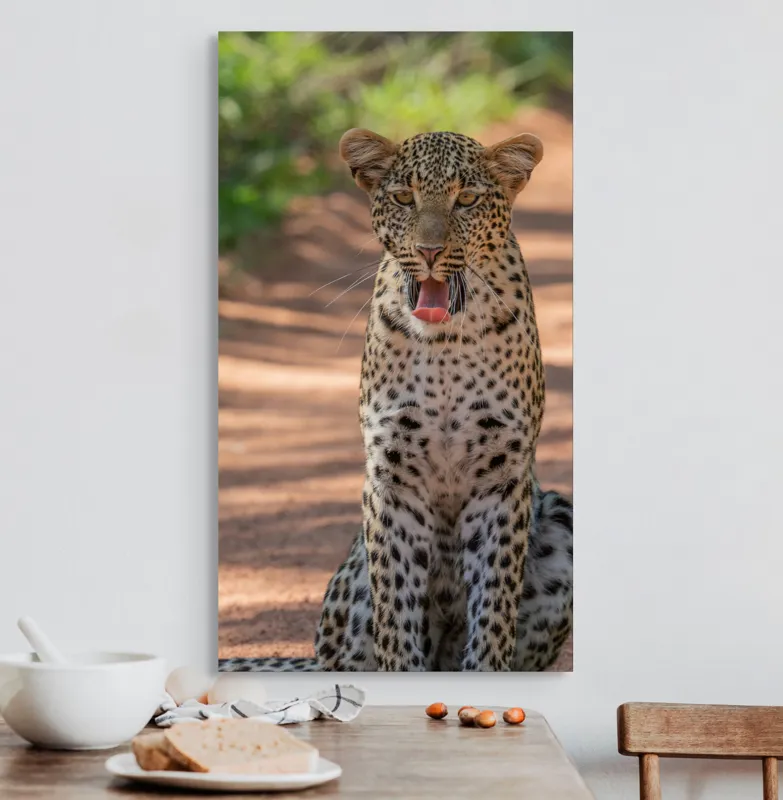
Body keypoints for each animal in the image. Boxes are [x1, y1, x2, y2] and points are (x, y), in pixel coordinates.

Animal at [220, 128, 573, 672]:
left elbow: (493, 607)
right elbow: (397, 607)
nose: (429, 251)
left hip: (560, 518)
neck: (445, 343)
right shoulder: (392, 477)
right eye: (405, 198)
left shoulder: (501, 480)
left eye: (466, 200)